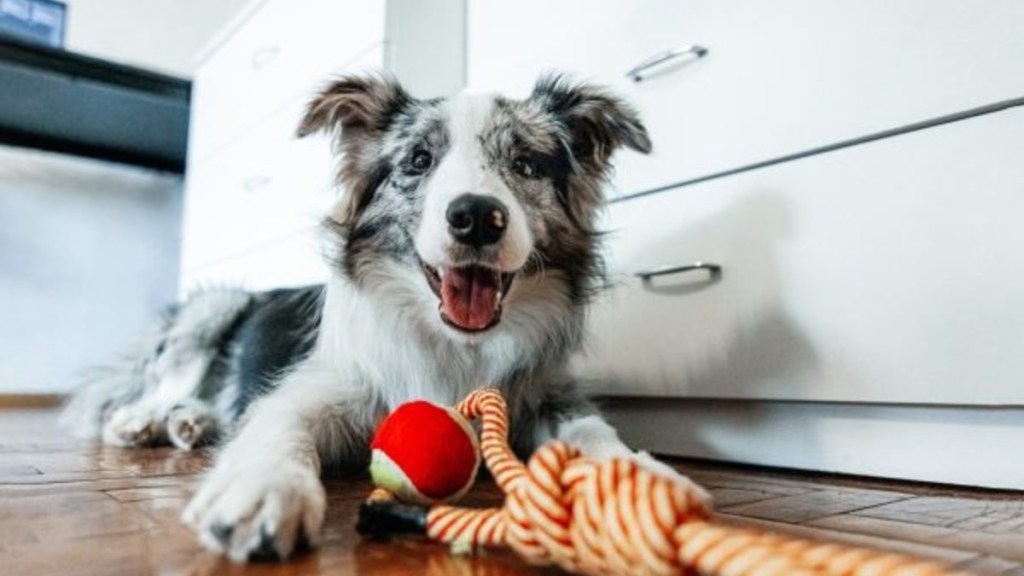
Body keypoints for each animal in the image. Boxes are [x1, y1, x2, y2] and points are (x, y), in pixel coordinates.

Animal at [59, 72, 708, 561]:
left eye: (525, 164)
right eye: (419, 160)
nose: (477, 217)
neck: (455, 345)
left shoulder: (546, 393)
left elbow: (594, 431)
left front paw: (641, 482)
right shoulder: (315, 388)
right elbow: (278, 427)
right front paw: (264, 489)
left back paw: (191, 422)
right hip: (215, 305)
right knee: (154, 387)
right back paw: (146, 420)